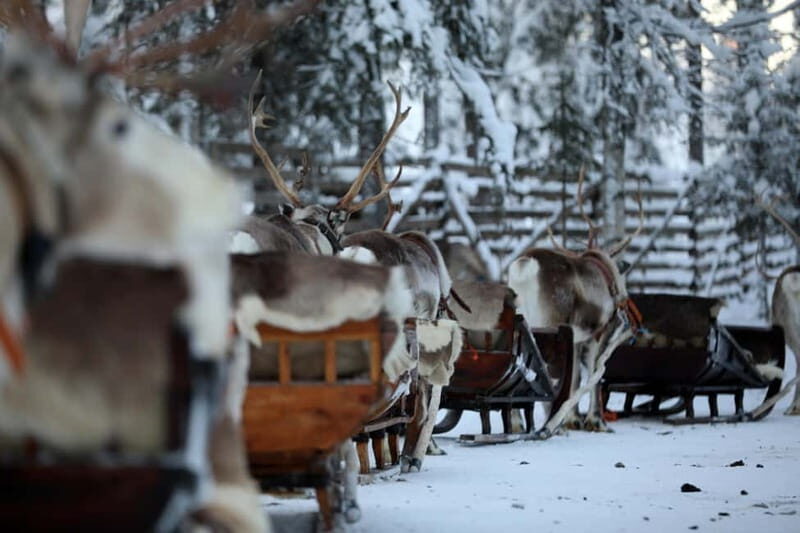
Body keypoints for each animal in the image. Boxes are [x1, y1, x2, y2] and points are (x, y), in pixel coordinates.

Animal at [508, 169, 644, 433]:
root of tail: (525, 266)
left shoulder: (577, 338)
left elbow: (575, 378)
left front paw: (574, 418)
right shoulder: (597, 333)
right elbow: (594, 374)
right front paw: (595, 420)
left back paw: (519, 424)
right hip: (547, 325)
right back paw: (550, 424)